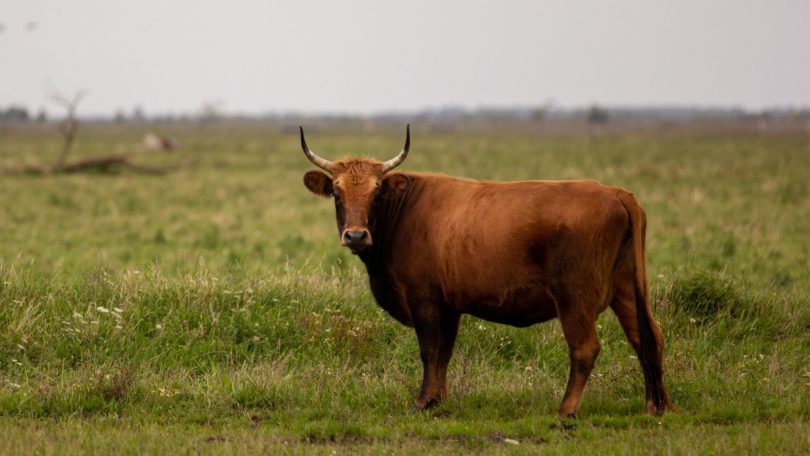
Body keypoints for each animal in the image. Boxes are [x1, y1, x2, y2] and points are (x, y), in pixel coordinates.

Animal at [299, 125, 673, 417]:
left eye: (376, 193)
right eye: (336, 193)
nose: (356, 235)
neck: (403, 211)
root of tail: (616, 192)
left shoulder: (424, 300)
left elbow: (429, 350)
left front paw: (422, 401)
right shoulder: (449, 306)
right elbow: (444, 352)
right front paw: (439, 399)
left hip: (575, 298)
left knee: (586, 347)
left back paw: (566, 409)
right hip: (627, 290)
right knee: (648, 337)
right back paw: (657, 406)